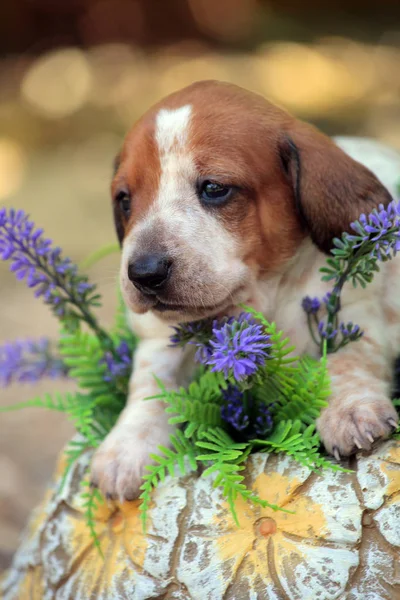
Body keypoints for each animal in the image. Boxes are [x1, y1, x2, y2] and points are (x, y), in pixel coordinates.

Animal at [90, 81, 400, 502]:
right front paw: (126, 447)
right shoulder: (160, 335)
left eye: (214, 188)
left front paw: (350, 411)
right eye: (124, 200)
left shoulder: (353, 311)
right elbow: (151, 381)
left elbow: (347, 359)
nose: (143, 273)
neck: (262, 295)